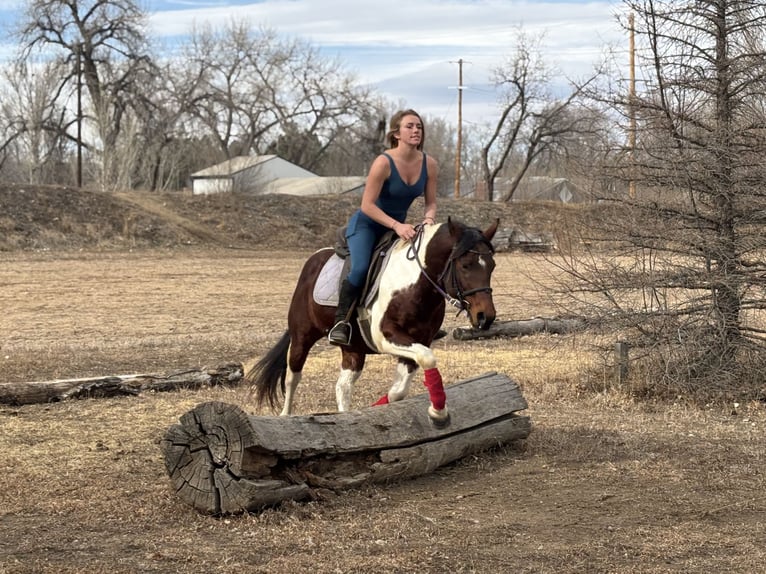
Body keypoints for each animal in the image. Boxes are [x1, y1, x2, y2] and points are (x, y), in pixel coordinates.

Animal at [245, 216, 499, 426]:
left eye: (492, 266)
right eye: (465, 265)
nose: (485, 317)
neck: (415, 285)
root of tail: (314, 260)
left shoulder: (418, 340)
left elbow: (400, 389)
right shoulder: (386, 337)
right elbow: (427, 358)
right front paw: (438, 414)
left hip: (353, 349)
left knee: (343, 386)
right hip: (301, 337)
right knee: (292, 378)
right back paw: (285, 416)